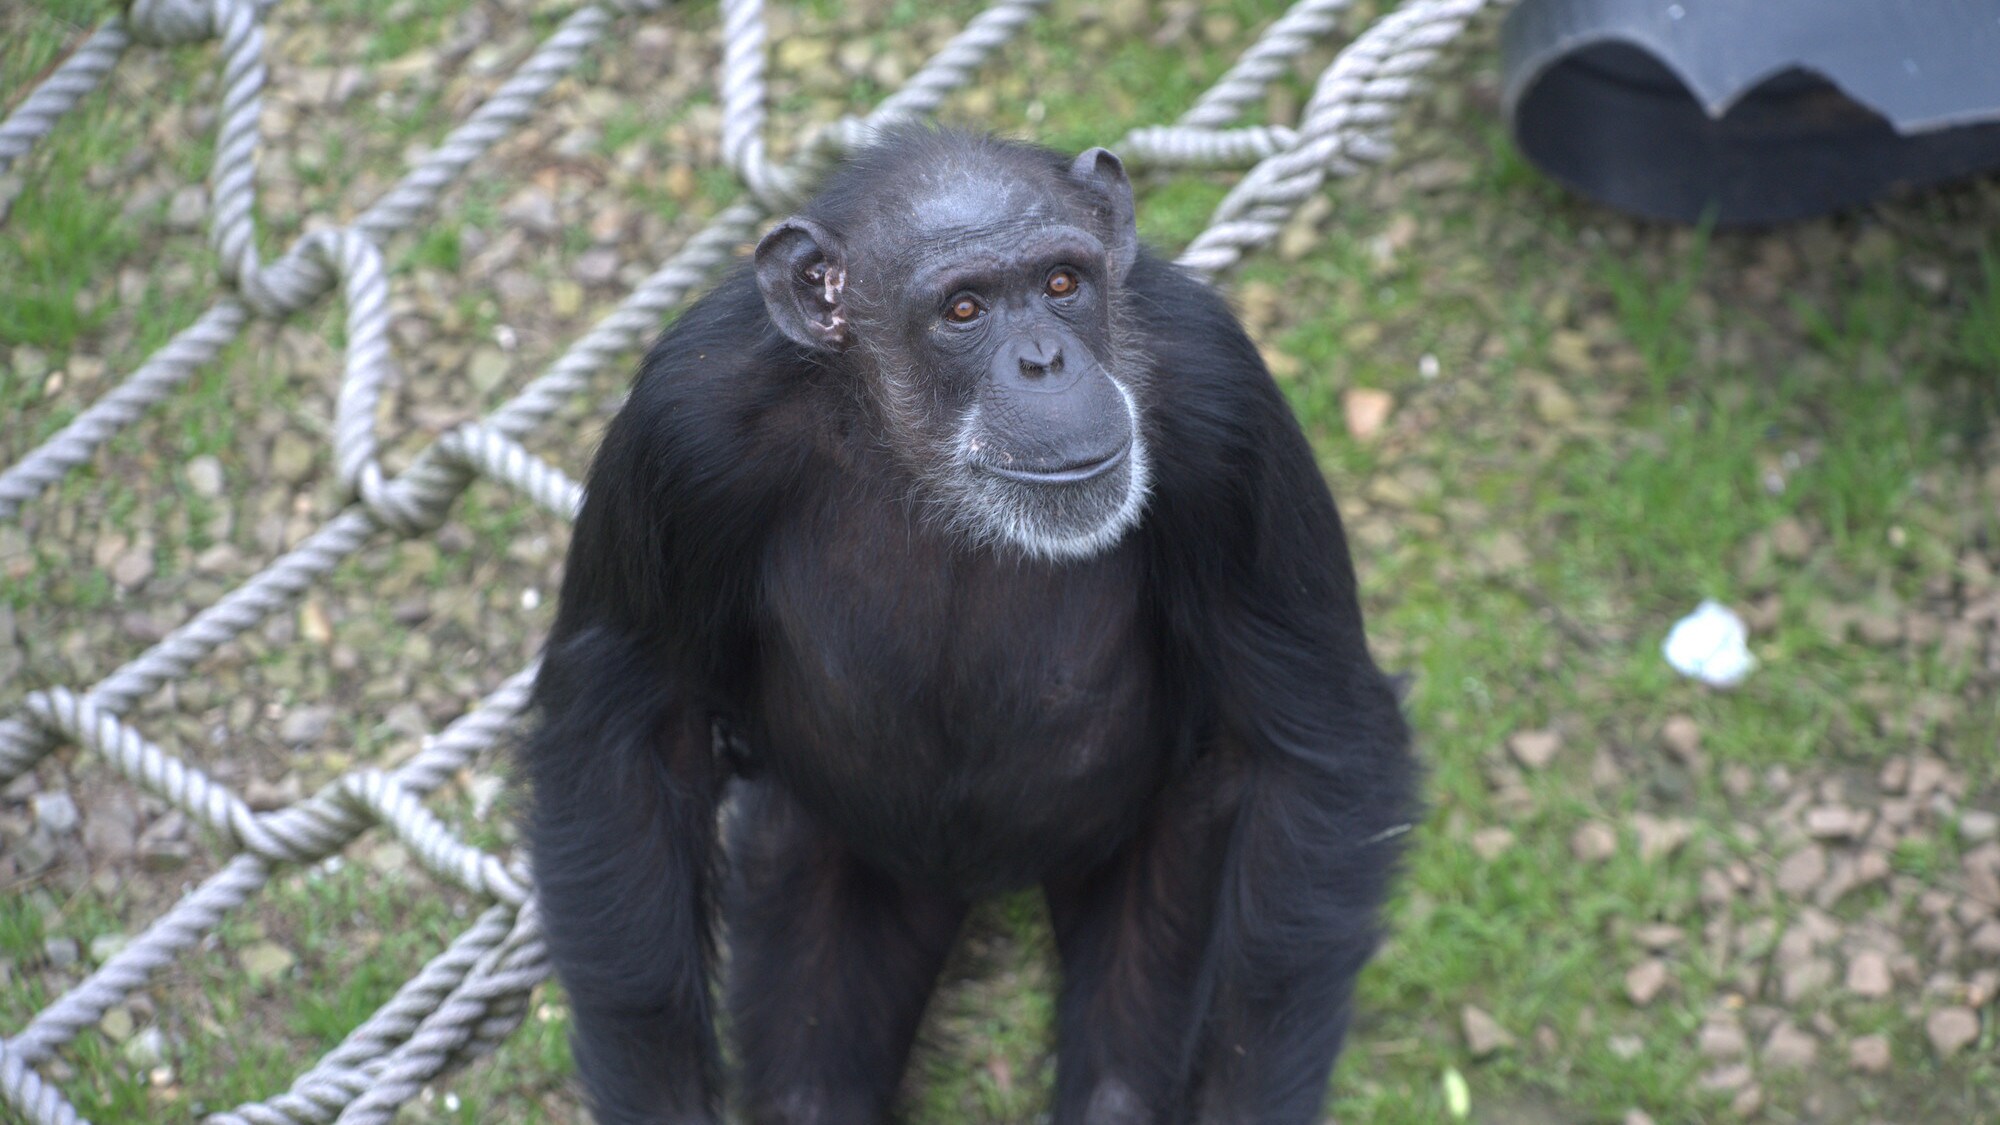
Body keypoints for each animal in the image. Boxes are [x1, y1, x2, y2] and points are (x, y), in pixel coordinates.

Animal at [524, 127, 1416, 1112]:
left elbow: (1314, 740)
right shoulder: (681, 432)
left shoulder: (1225, 410)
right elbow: (627, 733)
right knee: (810, 1071)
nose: (1044, 359)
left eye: (1063, 283)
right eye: (963, 308)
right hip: (825, 842)